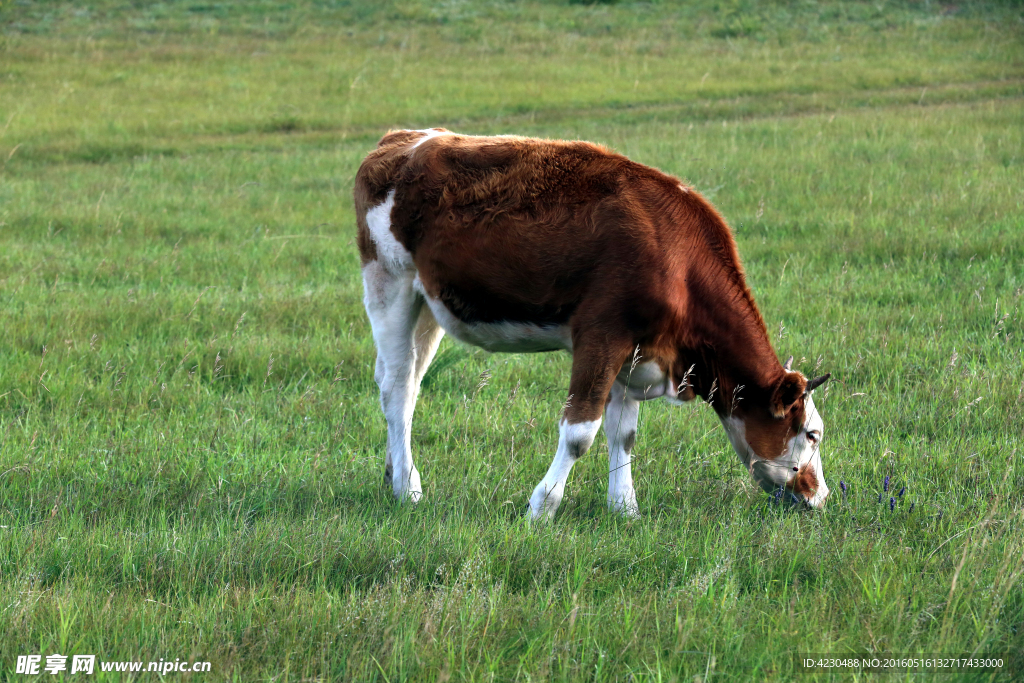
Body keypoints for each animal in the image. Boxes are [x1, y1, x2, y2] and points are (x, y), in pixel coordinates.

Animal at [356, 127, 827, 520]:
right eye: (812, 434)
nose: (821, 495)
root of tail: (403, 139)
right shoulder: (602, 335)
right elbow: (580, 432)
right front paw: (542, 508)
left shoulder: (636, 351)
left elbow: (624, 434)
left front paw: (625, 509)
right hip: (389, 284)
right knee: (397, 388)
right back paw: (408, 489)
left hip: (427, 306)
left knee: (409, 385)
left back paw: (394, 474)